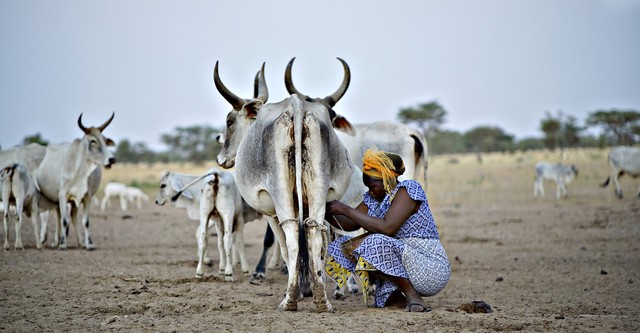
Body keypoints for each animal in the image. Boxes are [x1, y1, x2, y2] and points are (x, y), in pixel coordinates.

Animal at [35, 113, 115, 248]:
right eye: (93, 141)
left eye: (104, 140)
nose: (112, 159)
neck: (79, 171)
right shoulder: (62, 195)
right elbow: (64, 220)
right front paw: (63, 244)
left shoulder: (87, 196)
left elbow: (86, 221)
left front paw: (89, 244)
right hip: (56, 199)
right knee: (58, 216)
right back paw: (56, 242)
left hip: (72, 201)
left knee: (71, 216)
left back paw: (80, 242)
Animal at [215, 57, 356, 312]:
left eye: (229, 121)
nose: (221, 159)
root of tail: (297, 108)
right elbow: (313, 247)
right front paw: (308, 287)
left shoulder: (269, 210)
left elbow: (279, 243)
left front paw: (293, 287)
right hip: (319, 191)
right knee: (314, 233)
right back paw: (322, 299)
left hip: (279, 193)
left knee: (291, 235)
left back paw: (289, 300)